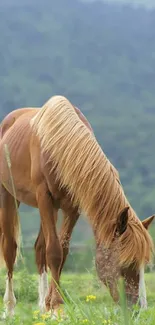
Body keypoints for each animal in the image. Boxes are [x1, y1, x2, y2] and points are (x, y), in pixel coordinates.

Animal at [0, 95, 154, 316]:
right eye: (126, 263)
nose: (137, 310)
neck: (60, 145)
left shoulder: (72, 207)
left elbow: (61, 252)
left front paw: (52, 304)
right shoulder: (44, 197)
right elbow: (54, 252)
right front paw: (55, 307)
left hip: (52, 210)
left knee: (39, 249)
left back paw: (41, 306)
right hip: (9, 196)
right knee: (10, 249)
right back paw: (10, 308)